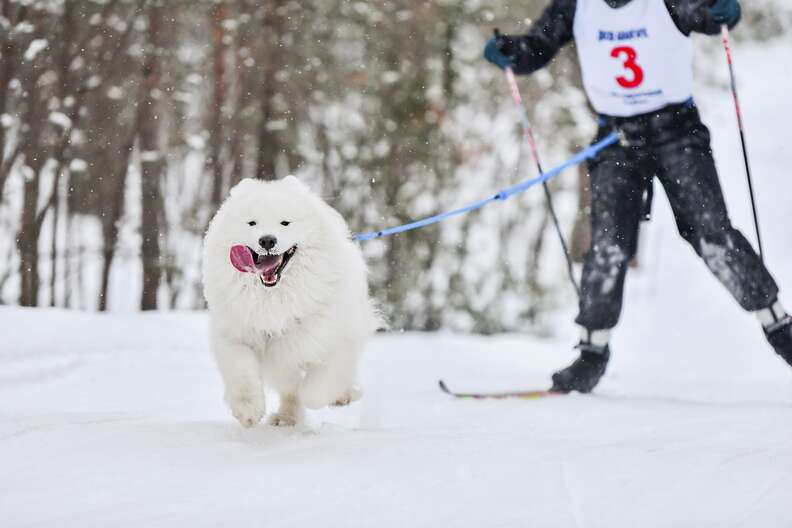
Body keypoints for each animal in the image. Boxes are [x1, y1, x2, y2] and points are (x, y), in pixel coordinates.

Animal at [203, 175, 378, 426]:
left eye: (285, 223)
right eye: (252, 223)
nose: (267, 240)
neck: (275, 297)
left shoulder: (334, 337)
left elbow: (317, 388)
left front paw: (330, 396)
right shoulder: (236, 335)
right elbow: (242, 374)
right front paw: (248, 411)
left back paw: (341, 397)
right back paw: (286, 418)